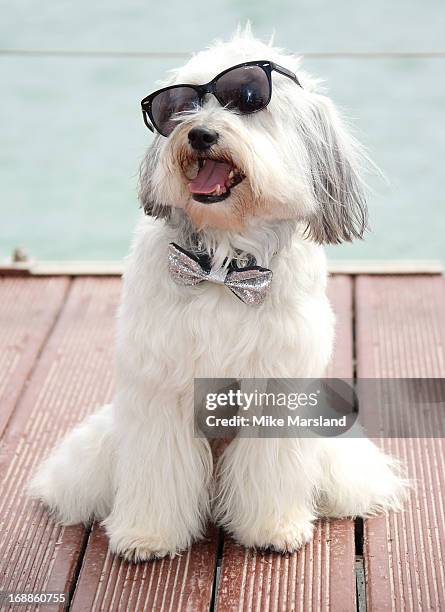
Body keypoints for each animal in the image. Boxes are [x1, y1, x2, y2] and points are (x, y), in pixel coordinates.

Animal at [27, 27, 406, 560]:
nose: (200, 134)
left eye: (246, 100)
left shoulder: (276, 385)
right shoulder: (161, 383)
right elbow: (157, 467)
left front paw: (272, 527)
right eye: (179, 106)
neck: (222, 266)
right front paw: (147, 534)